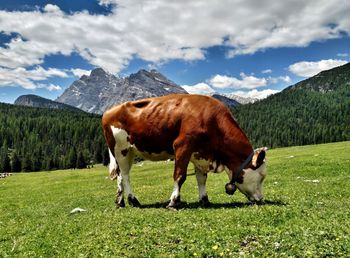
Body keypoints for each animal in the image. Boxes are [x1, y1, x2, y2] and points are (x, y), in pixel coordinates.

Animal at [102, 93, 268, 209]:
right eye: (261, 176)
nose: (261, 199)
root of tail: (108, 111)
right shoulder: (182, 146)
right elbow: (180, 176)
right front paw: (174, 202)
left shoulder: (200, 153)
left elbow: (201, 178)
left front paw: (204, 200)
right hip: (121, 149)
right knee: (125, 176)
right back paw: (133, 200)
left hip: (128, 152)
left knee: (120, 176)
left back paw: (120, 202)